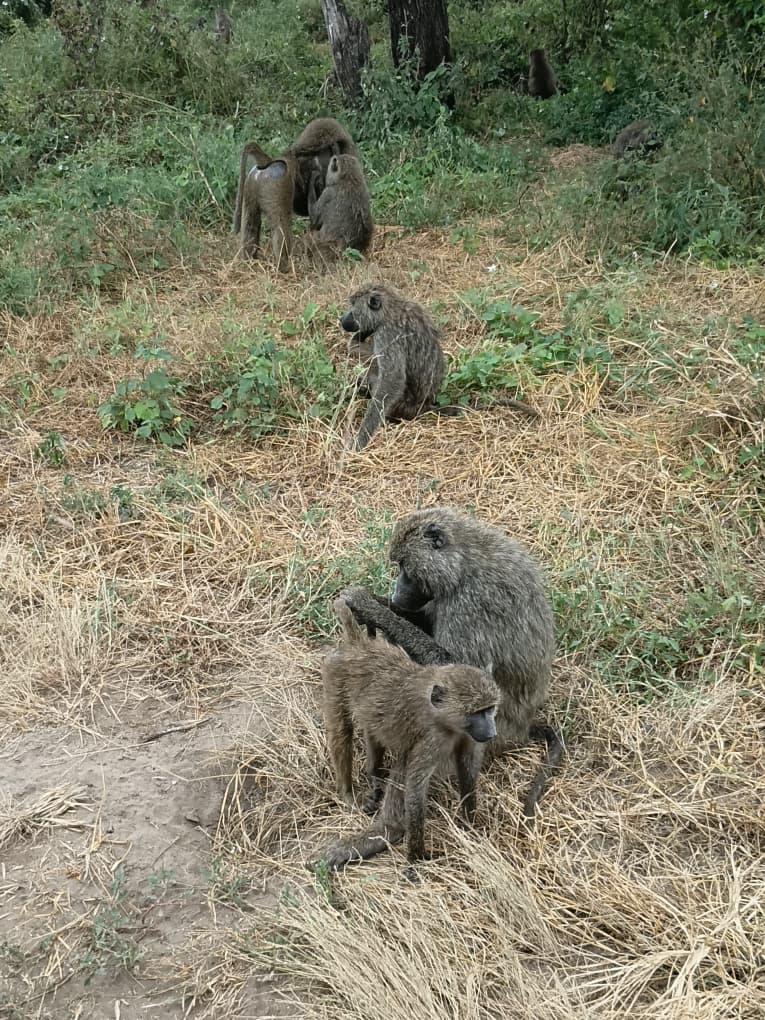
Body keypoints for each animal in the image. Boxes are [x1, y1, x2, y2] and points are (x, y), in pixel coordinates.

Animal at [318, 599, 500, 872]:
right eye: (477, 712)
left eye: (489, 709)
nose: (492, 732)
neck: (445, 718)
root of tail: (357, 645)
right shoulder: (432, 740)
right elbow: (415, 787)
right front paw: (416, 858)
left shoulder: (468, 737)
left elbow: (467, 769)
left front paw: (469, 825)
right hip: (335, 676)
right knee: (342, 732)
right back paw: (361, 806)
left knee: (378, 736)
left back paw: (375, 779)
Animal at [338, 507, 563, 820]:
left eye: (404, 566)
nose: (396, 592)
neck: (464, 561)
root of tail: (523, 726)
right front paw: (374, 602)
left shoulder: (471, 603)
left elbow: (461, 670)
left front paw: (366, 606)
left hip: (490, 730)